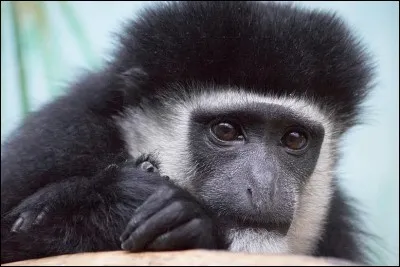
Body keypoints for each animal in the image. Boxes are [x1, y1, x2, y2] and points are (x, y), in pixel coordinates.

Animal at [0, 0, 376, 266]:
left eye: (294, 138)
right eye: (226, 130)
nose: (264, 184)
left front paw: (187, 223)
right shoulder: (59, 141)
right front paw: (125, 201)